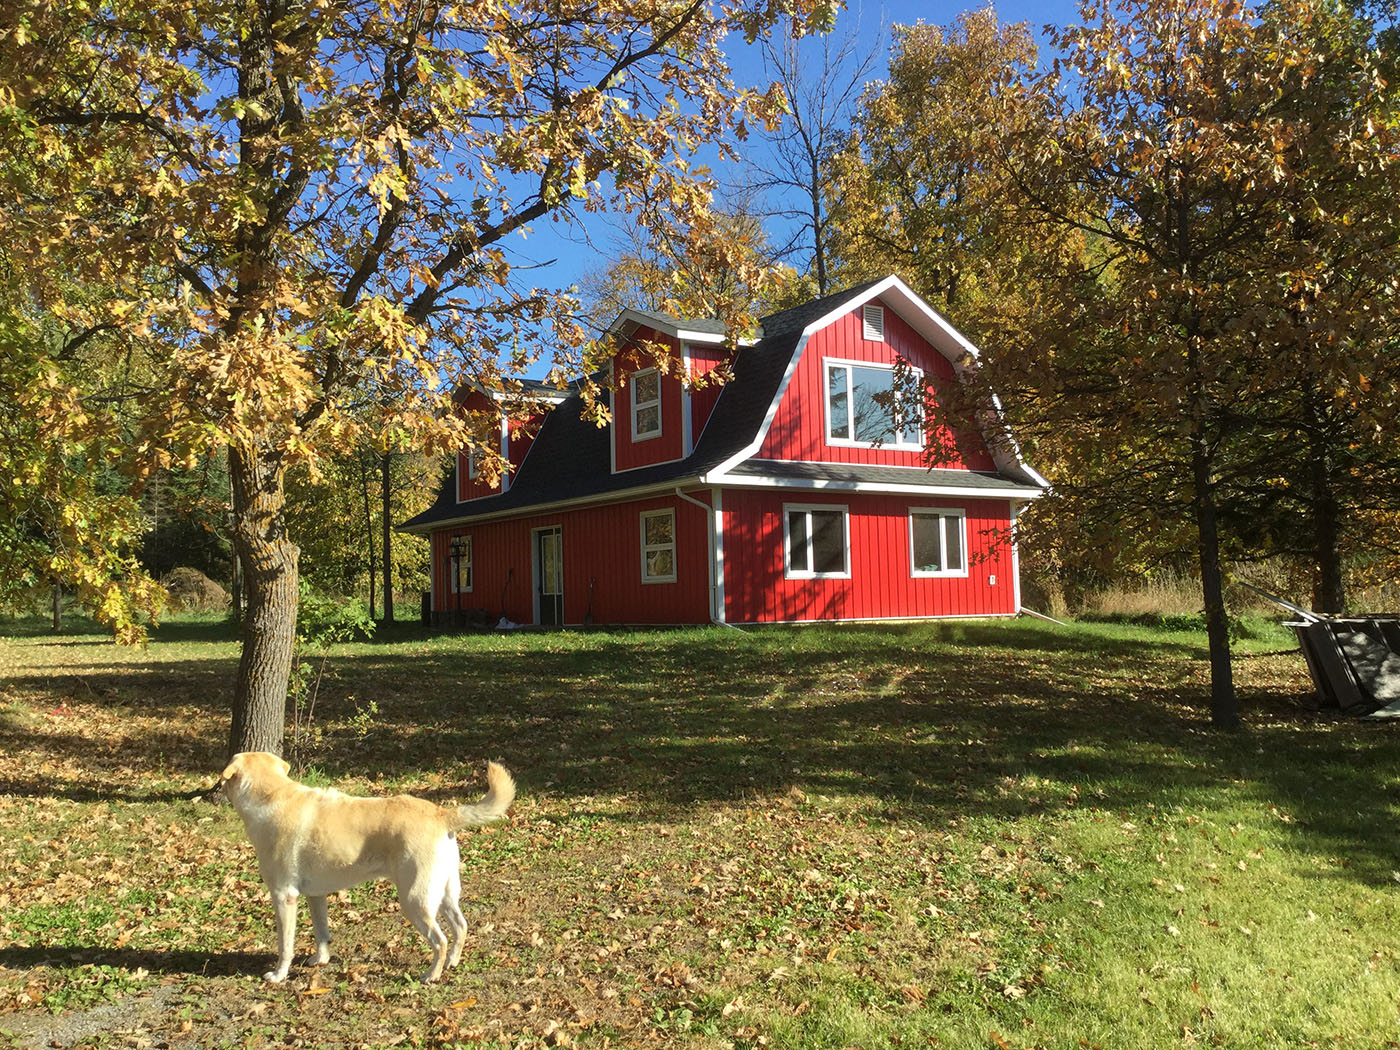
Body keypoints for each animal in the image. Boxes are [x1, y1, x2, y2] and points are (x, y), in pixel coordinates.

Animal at [221, 756, 518, 985]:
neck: (271, 795)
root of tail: (441, 813)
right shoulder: (316, 896)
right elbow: (322, 934)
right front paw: (320, 960)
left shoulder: (284, 896)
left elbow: (285, 945)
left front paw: (278, 975)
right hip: (443, 894)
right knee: (461, 926)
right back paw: (451, 963)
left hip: (414, 900)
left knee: (440, 940)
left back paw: (431, 975)